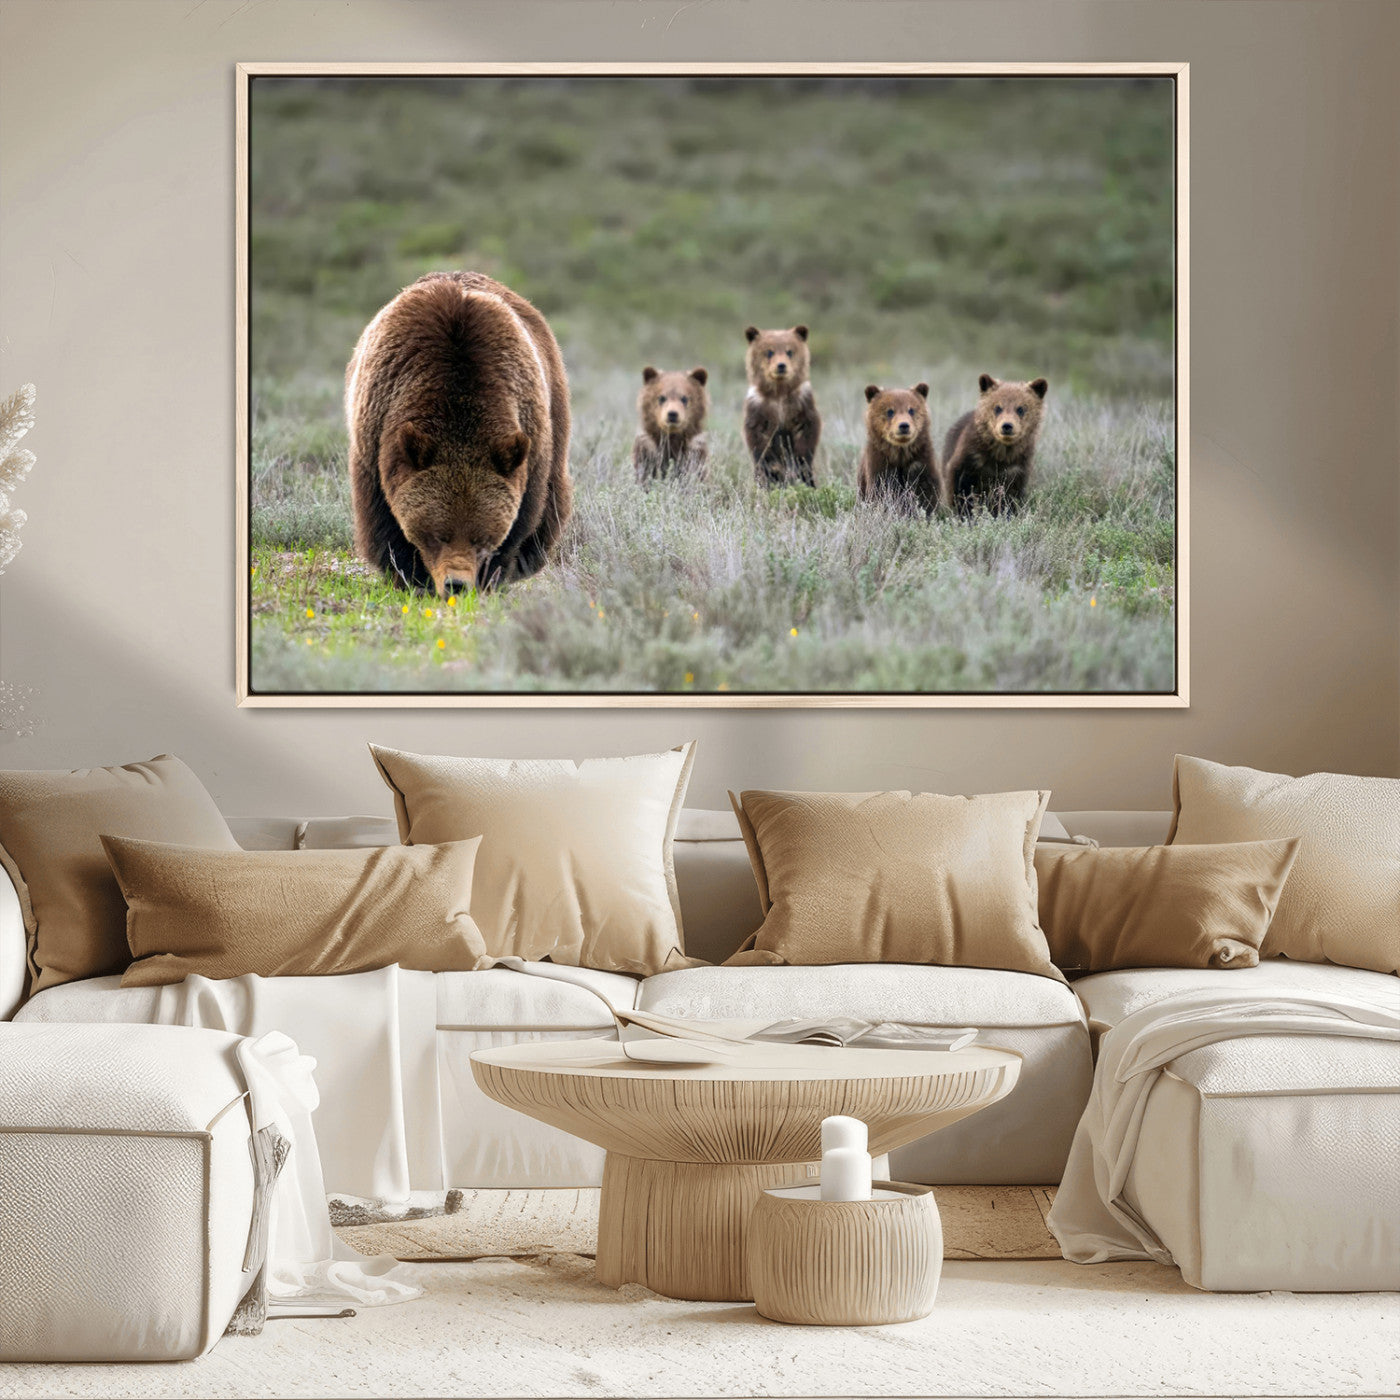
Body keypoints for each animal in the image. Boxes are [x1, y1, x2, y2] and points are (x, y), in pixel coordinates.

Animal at [345, 270, 573, 597]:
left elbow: (523, 518)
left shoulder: (529, 438)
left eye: (481, 537)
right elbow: (383, 520)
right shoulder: (377, 435)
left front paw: (492, 577)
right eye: (438, 534)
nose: (457, 584)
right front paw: (410, 576)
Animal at [743, 324, 821, 487]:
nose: (781, 365)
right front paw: (773, 471)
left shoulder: (802, 403)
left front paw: (799, 466)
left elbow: (807, 434)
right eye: (769, 351)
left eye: (789, 351)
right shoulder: (759, 409)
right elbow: (759, 442)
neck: (779, 394)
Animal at [858, 383, 938, 513]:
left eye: (911, 410)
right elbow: (880, 491)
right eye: (890, 411)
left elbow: (926, 492)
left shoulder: (921, 460)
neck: (900, 453)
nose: (904, 425)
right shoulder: (879, 464)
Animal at [939, 373, 1048, 517]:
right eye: (997, 407)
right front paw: (965, 513)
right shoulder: (970, 460)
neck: (1000, 454)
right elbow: (960, 489)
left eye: (1020, 409)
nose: (1007, 426)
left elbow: (1011, 496)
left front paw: (1006, 513)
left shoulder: (1017, 467)